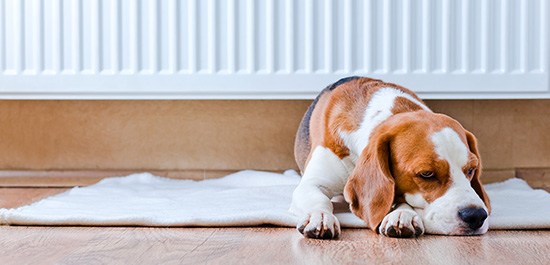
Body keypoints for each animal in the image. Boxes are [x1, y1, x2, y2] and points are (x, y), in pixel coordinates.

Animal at [292, 76, 494, 237]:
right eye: (426, 174)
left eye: (471, 169)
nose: (476, 216)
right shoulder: (312, 183)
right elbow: (320, 199)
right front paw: (320, 216)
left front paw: (403, 215)